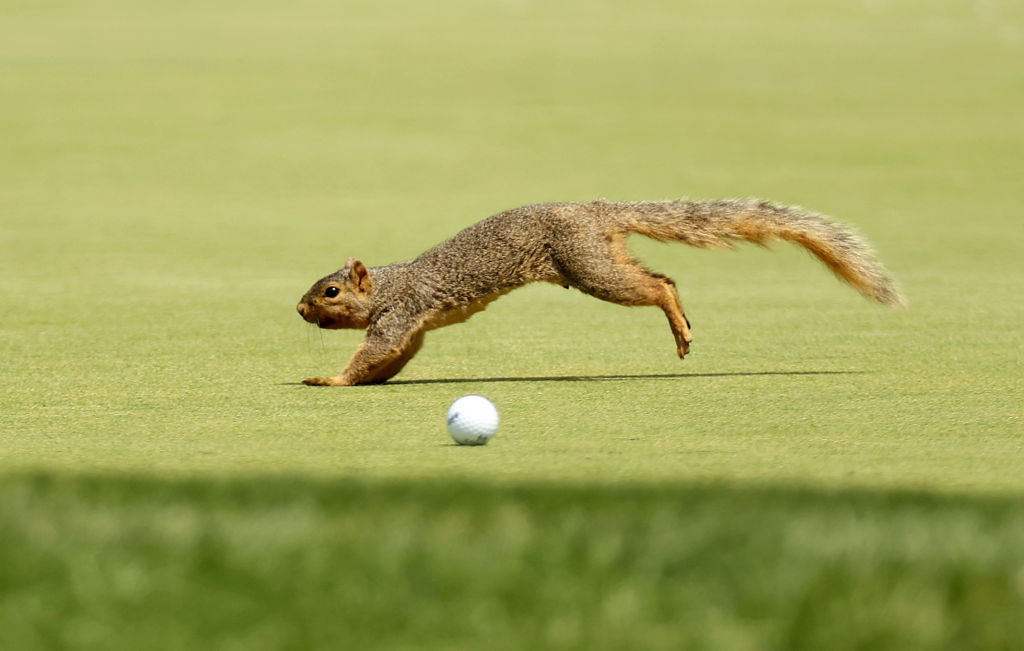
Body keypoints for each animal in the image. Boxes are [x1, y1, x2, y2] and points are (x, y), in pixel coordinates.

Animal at [296, 195, 905, 384]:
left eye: (330, 292)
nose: (299, 308)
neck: (388, 284)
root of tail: (595, 210)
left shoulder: (400, 312)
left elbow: (374, 349)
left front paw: (331, 379)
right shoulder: (414, 328)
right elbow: (392, 358)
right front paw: (364, 381)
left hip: (589, 267)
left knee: (659, 285)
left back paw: (679, 327)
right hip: (600, 257)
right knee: (662, 278)